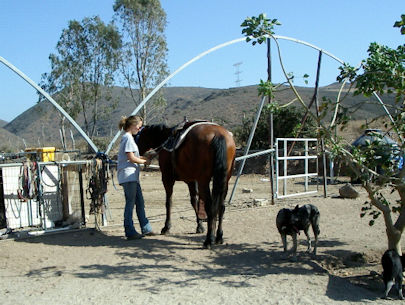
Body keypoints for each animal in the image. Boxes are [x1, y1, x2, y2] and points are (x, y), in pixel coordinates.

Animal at [136, 120, 235, 248]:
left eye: (138, 137)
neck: (165, 137)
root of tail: (219, 135)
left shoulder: (167, 179)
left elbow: (169, 202)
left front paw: (166, 227)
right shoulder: (191, 181)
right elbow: (194, 202)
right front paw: (199, 226)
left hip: (204, 181)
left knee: (210, 207)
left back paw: (209, 240)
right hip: (224, 180)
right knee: (221, 207)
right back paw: (219, 237)